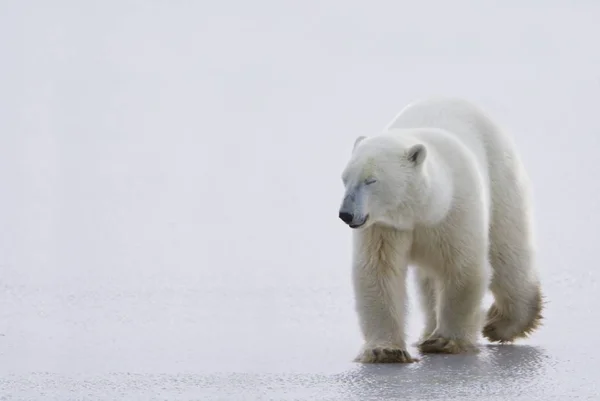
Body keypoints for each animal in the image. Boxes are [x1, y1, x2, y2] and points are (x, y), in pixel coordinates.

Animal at [338, 97, 544, 362]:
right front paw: (385, 350)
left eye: (371, 180)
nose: (346, 214)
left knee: (507, 249)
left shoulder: (454, 211)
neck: (423, 210)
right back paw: (427, 330)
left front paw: (444, 341)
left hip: (500, 174)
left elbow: (462, 268)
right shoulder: (385, 227)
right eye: (345, 178)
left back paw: (504, 323)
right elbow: (379, 272)